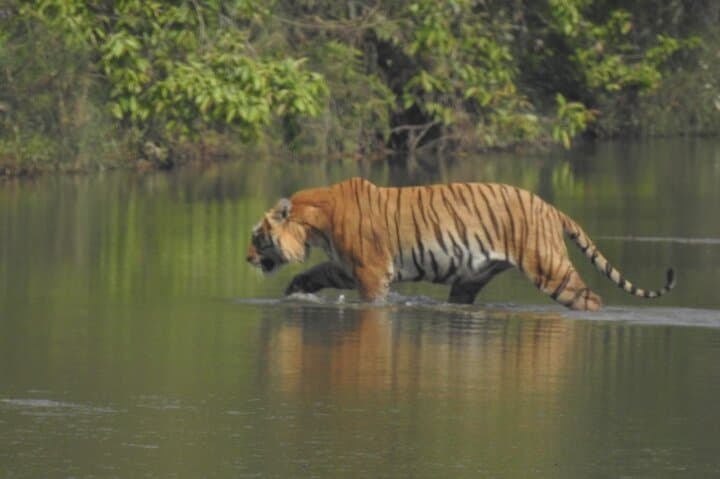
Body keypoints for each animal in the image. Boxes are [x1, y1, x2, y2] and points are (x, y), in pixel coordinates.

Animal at [246, 177, 675, 311]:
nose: (247, 258)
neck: (314, 226)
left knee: (592, 299)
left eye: (257, 236)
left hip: (550, 269)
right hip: (469, 279)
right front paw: (294, 291)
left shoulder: (370, 270)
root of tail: (551, 208)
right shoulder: (345, 267)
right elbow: (313, 274)